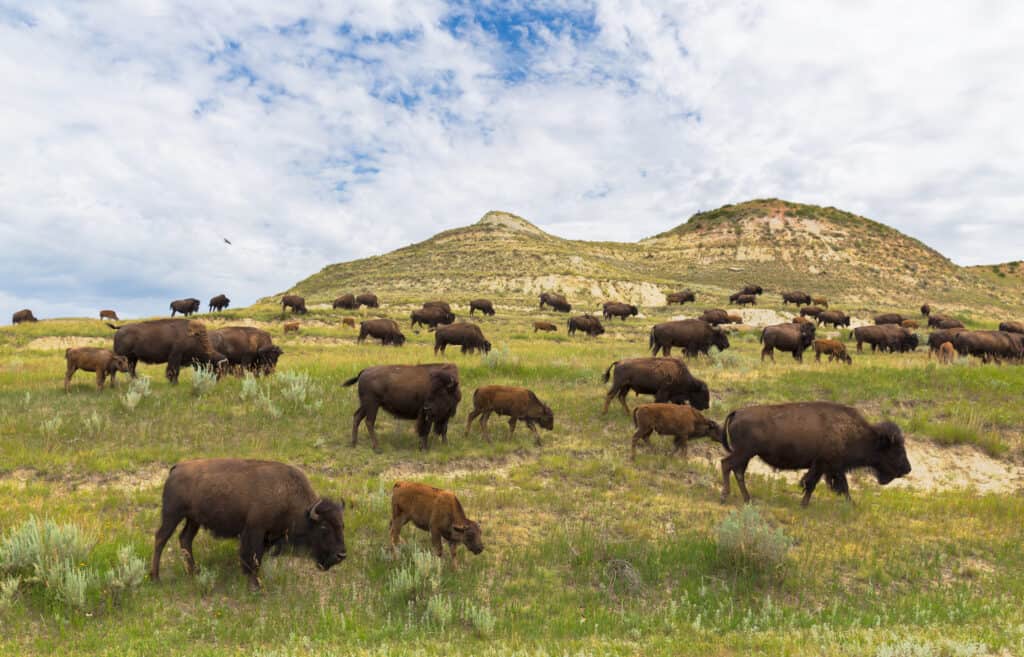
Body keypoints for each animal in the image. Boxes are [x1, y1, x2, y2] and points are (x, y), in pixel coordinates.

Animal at [149, 454, 346, 589]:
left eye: (342, 526)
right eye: (324, 527)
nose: (341, 555)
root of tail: (177, 467)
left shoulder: (267, 536)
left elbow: (256, 558)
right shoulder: (255, 531)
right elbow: (252, 556)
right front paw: (255, 585)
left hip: (193, 520)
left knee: (185, 539)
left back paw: (194, 572)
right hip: (172, 515)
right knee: (161, 538)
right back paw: (156, 578)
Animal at [716, 401, 909, 503]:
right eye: (897, 450)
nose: (908, 469)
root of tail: (737, 412)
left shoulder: (832, 467)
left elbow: (841, 486)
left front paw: (850, 504)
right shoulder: (824, 464)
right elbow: (812, 483)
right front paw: (804, 504)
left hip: (746, 455)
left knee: (737, 471)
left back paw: (747, 499)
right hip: (744, 453)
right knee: (726, 465)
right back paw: (725, 496)